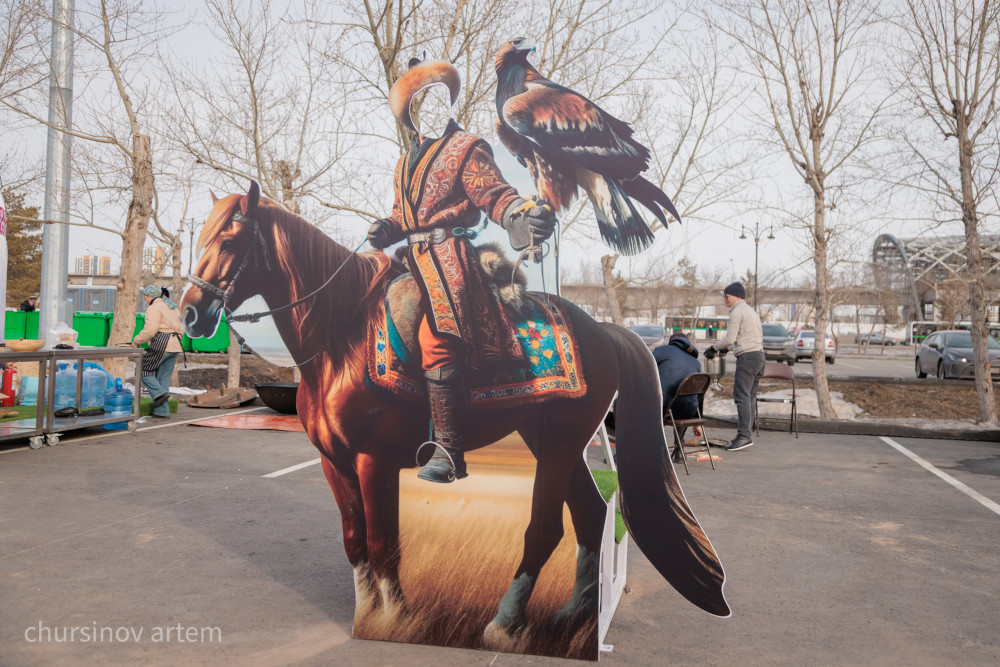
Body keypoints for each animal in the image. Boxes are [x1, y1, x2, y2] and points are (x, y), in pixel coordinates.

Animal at [180, 183, 728, 648]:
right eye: (201, 235)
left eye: (230, 238)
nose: (189, 313)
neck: (341, 339)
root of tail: (605, 330)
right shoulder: (334, 464)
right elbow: (356, 543)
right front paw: (367, 614)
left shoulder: (374, 461)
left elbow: (384, 542)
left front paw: (396, 621)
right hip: (554, 443)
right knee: (590, 515)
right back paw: (576, 615)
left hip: (556, 445)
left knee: (546, 527)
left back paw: (506, 623)